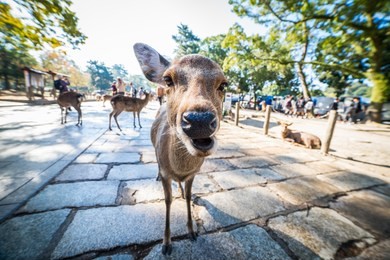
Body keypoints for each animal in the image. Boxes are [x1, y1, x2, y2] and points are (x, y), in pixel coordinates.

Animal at [133, 42, 227, 254]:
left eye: (224, 84)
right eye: (168, 80)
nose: (199, 120)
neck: (179, 168)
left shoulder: (193, 174)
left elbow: (189, 197)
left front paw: (192, 232)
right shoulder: (166, 174)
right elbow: (167, 201)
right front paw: (166, 244)